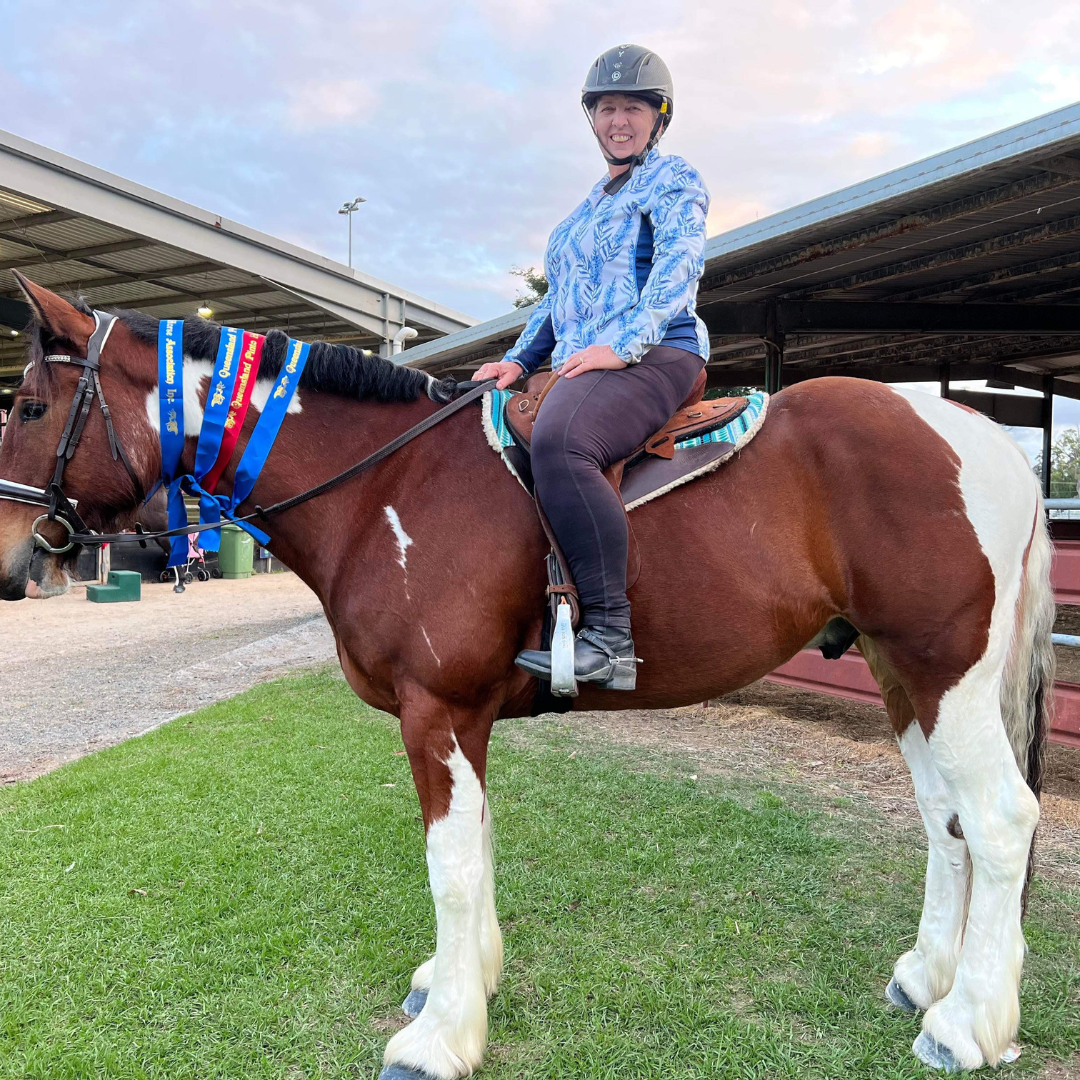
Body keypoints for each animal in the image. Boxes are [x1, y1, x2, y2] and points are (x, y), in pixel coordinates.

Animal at [0, 280, 1054, 1080]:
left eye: (30, 407)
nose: (13, 562)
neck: (389, 484)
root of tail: (984, 436)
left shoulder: (437, 711)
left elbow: (452, 863)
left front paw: (438, 1039)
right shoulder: (464, 720)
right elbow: (478, 849)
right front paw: (458, 982)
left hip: (945, 671)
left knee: (1000, 819)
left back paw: (968, 1023)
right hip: (900, 674)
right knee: (945, 820)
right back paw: (930, 976)